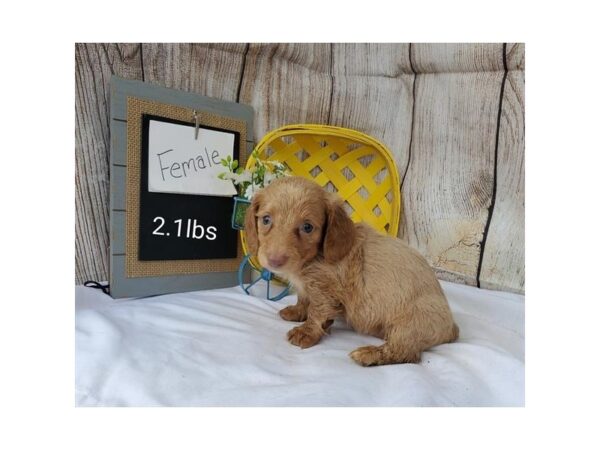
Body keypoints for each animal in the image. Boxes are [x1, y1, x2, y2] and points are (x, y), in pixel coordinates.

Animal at [244, 176, 460, 366]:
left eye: (307, 227)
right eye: (266, 220)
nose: (275, 260)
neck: (314, 258)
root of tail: (451, 328)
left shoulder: (325, 292)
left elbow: (316, 311)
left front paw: (306, 332)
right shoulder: (308, 288)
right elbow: (304, 300)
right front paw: (296, 312)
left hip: (409, 324)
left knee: (406, 352)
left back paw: (369, 355)